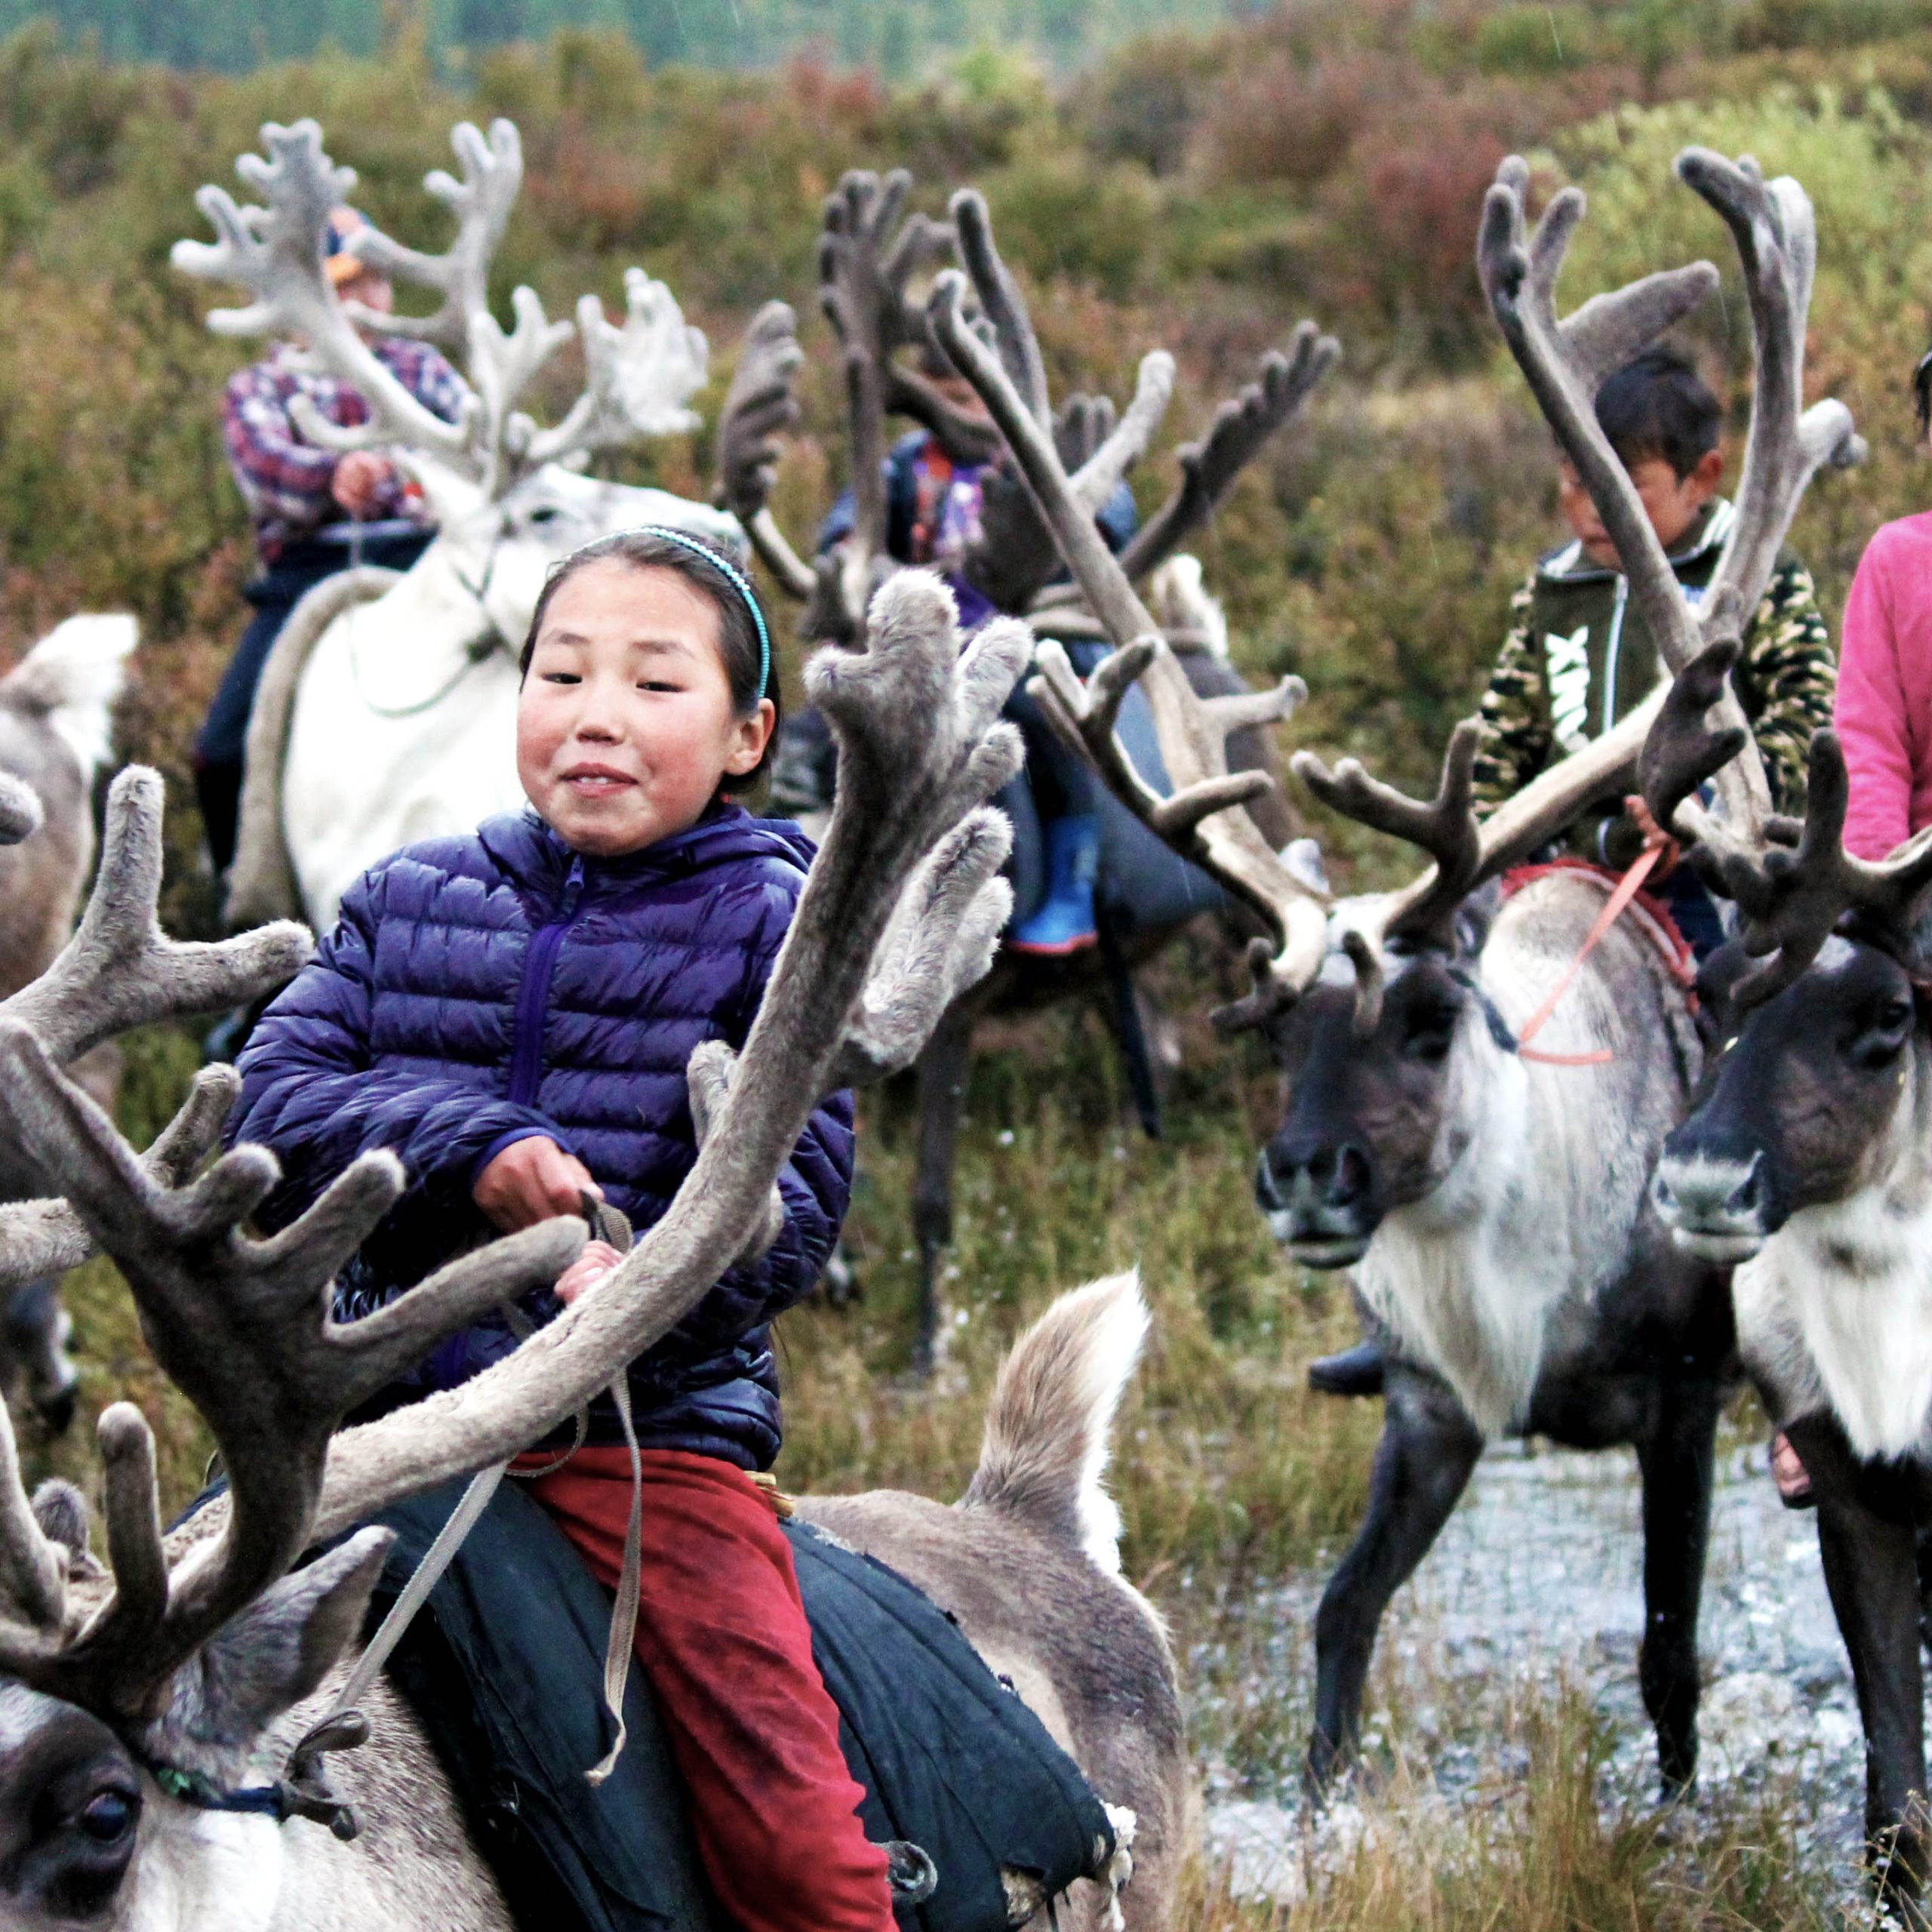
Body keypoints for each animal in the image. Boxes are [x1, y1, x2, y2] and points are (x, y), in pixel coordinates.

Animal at [714, 168, 1337, 1360]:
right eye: (825, 650)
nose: (804, 771)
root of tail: (1207, 655)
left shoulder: (956, 1005)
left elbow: (932, 1194)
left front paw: (927, 1350)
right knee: (1141, 1024)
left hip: (1258, 863)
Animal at [949, 144, 1861, 1799]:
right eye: (1273, 1020)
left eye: (1432, 1019)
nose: (1305, 1177)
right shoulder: (1429, 1413)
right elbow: (1336, 1624)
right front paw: (1320, 1807)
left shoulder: (1682, 1403)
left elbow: (1667, 1653)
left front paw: (1676, 1807)